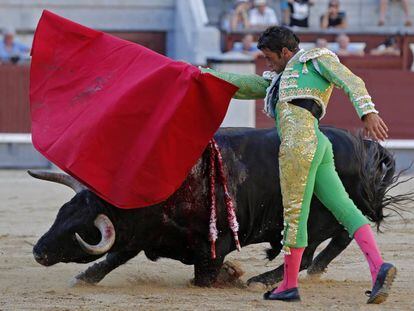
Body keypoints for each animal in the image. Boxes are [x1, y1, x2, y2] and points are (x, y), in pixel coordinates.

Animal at [31, 127, 394, 288]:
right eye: (61, 215)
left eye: (82, 231)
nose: (38, 251)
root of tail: (365, 145)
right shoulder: (142, 232)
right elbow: (116, 255)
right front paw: (84, 278)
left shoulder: (214, 243)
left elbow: (203, 276)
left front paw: (230, 275)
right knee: (341, 238)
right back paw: (316, 270)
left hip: (314, 218)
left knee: (306, 251)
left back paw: (261, 280)